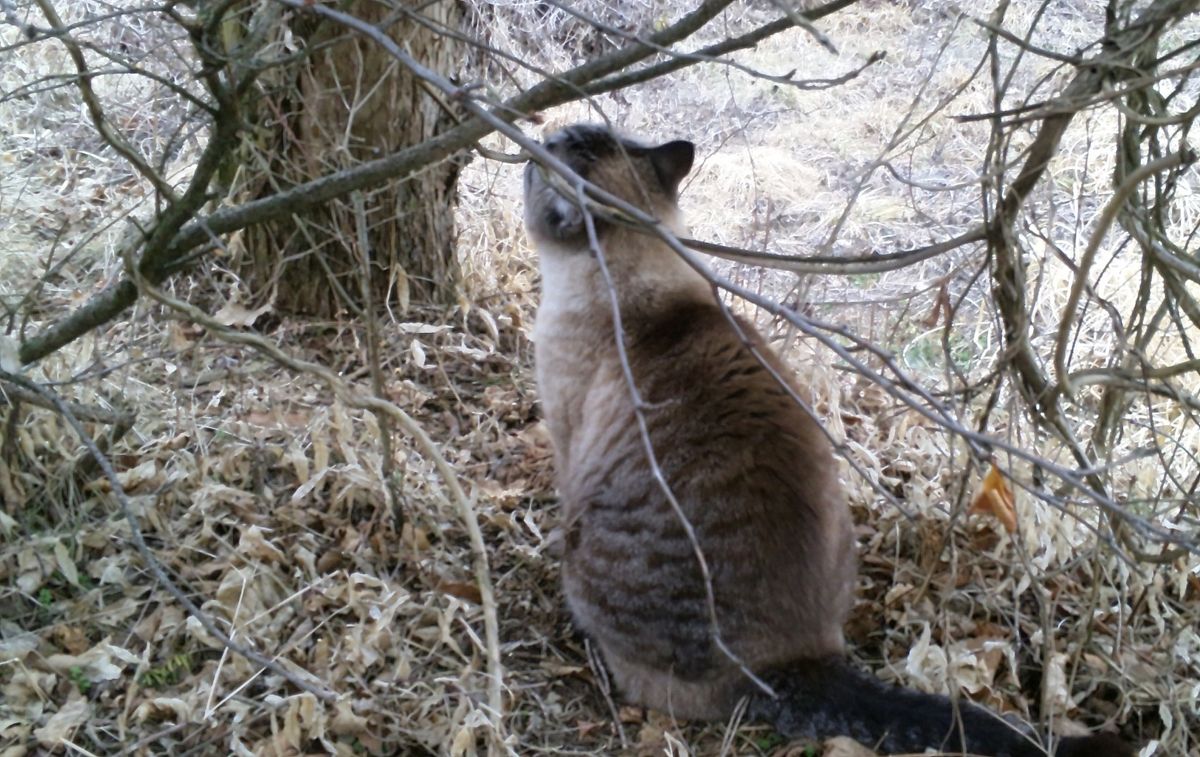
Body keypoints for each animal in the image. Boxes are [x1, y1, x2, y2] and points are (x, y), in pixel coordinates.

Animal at [520, 124, 1128, 757]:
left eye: (570, 150)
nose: (544, 137)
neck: (634, 285)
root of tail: (806, 662)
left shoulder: (566, 440)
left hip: (594, 561)